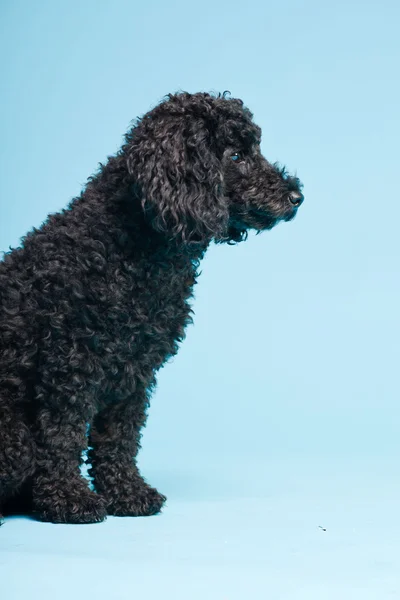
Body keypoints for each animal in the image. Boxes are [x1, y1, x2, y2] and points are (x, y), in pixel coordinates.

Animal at [0, 91, 304, 524]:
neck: (130, 242)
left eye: (255, 149)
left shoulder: (134, 370)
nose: (297, 197)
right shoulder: (67, 365)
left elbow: (120, 436)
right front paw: (67, 498)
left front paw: (126, 492)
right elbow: (63, 435)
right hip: (14, 440)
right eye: (235, 155)